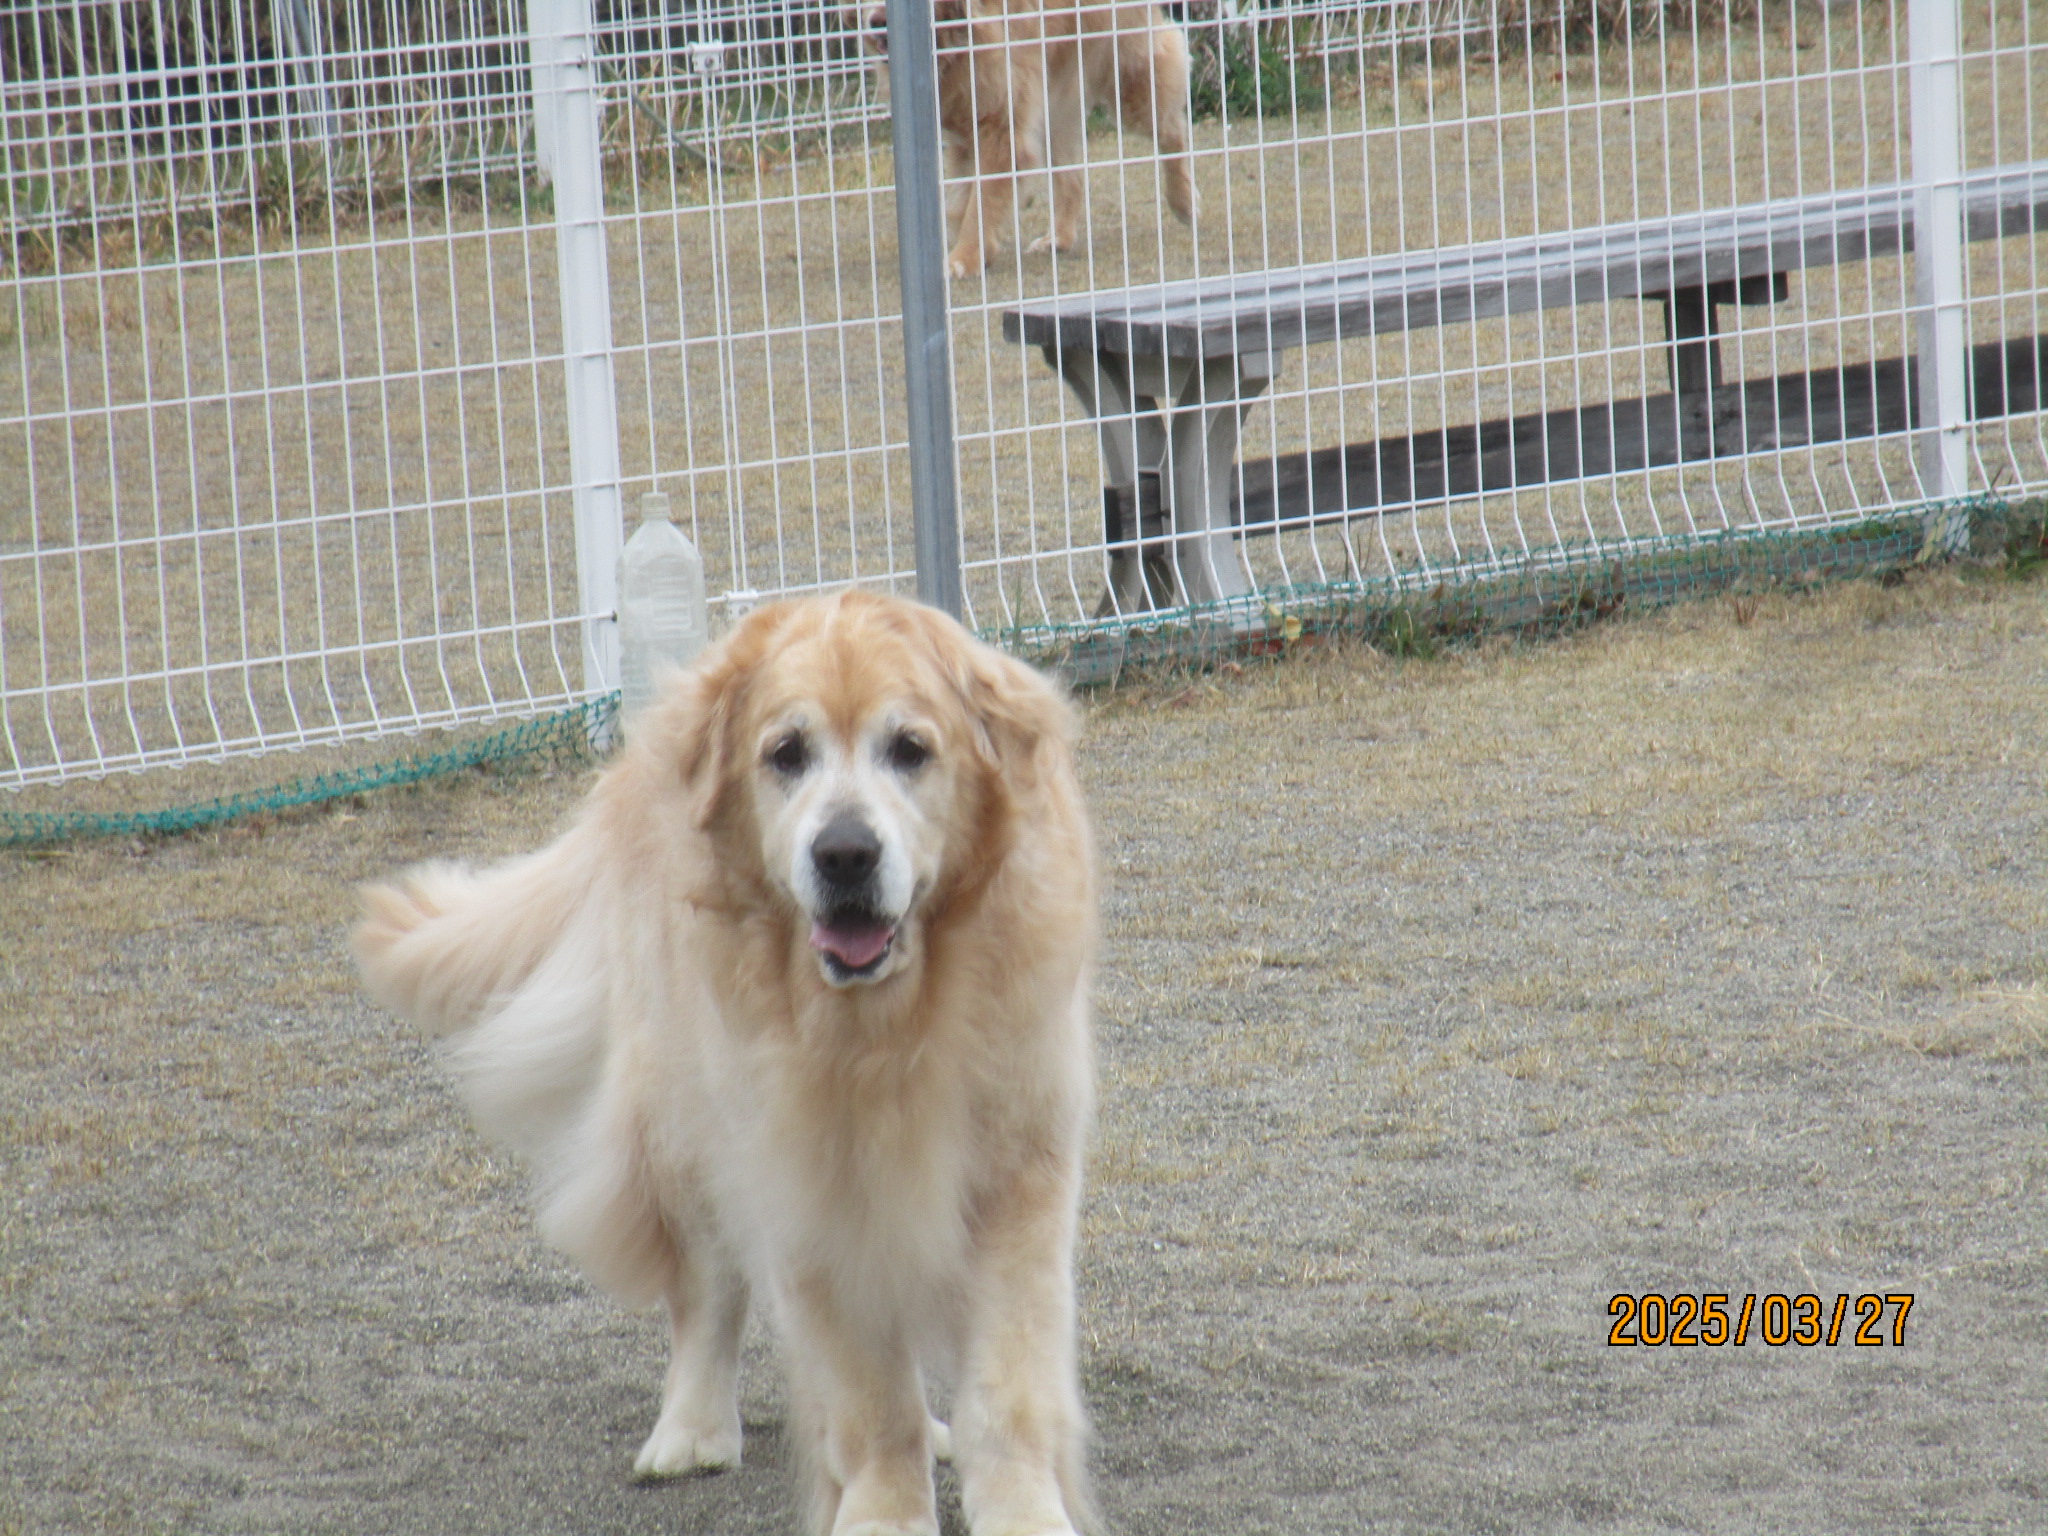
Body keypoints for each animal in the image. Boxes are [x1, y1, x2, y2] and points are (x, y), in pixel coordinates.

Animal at [354, 591, 1099, 1536]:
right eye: (787, 754)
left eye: (910, 749)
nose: (845, 854)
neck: (884, 1032)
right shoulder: (807, 1186)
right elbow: (868, 1398)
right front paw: (881, 1510)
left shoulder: (1019, 1172)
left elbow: (1008, 1386)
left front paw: (1021, 1508)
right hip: (685, 1126)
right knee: (706, 1295)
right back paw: (692, 1431)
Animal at [867, 1, 1198, 277]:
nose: (876, 22)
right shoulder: (966, 131)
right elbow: (963, 200)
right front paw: (979, 250)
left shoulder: (1000, 131)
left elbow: (979, 205)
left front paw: (964, 258)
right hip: (1053, 103)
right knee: (1072, 179)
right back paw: (1059, 239)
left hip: (1128, 81)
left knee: (1172, 133)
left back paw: (1183, 202)